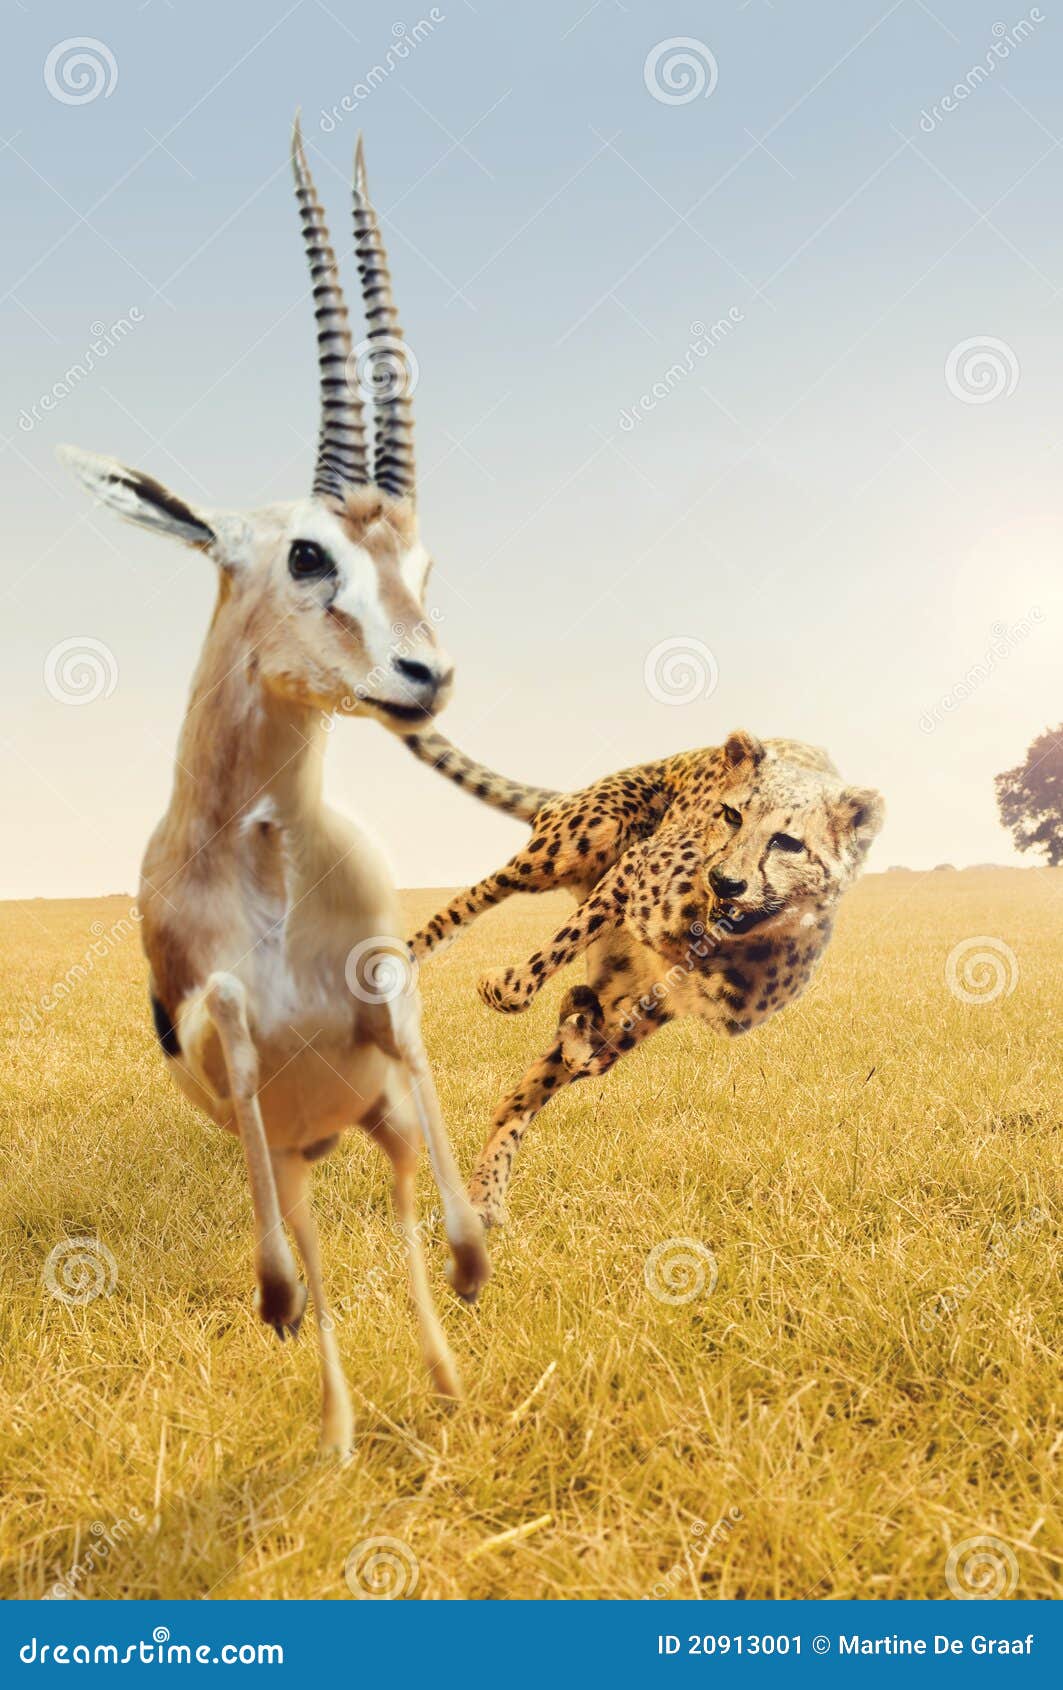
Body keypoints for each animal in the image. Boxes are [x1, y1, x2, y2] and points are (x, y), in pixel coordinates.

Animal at [402, 726, 885, 1230]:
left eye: (788, 842)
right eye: (731, 814)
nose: (724, 880)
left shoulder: (664, 1000)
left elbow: (591, 1053)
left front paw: (577, 1023)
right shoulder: (633, 868)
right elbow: (539, 968)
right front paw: (506, 988)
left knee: (517, 1098)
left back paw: (485, 1197)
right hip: (573, 843)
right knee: (472, 899)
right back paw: (395, 965)